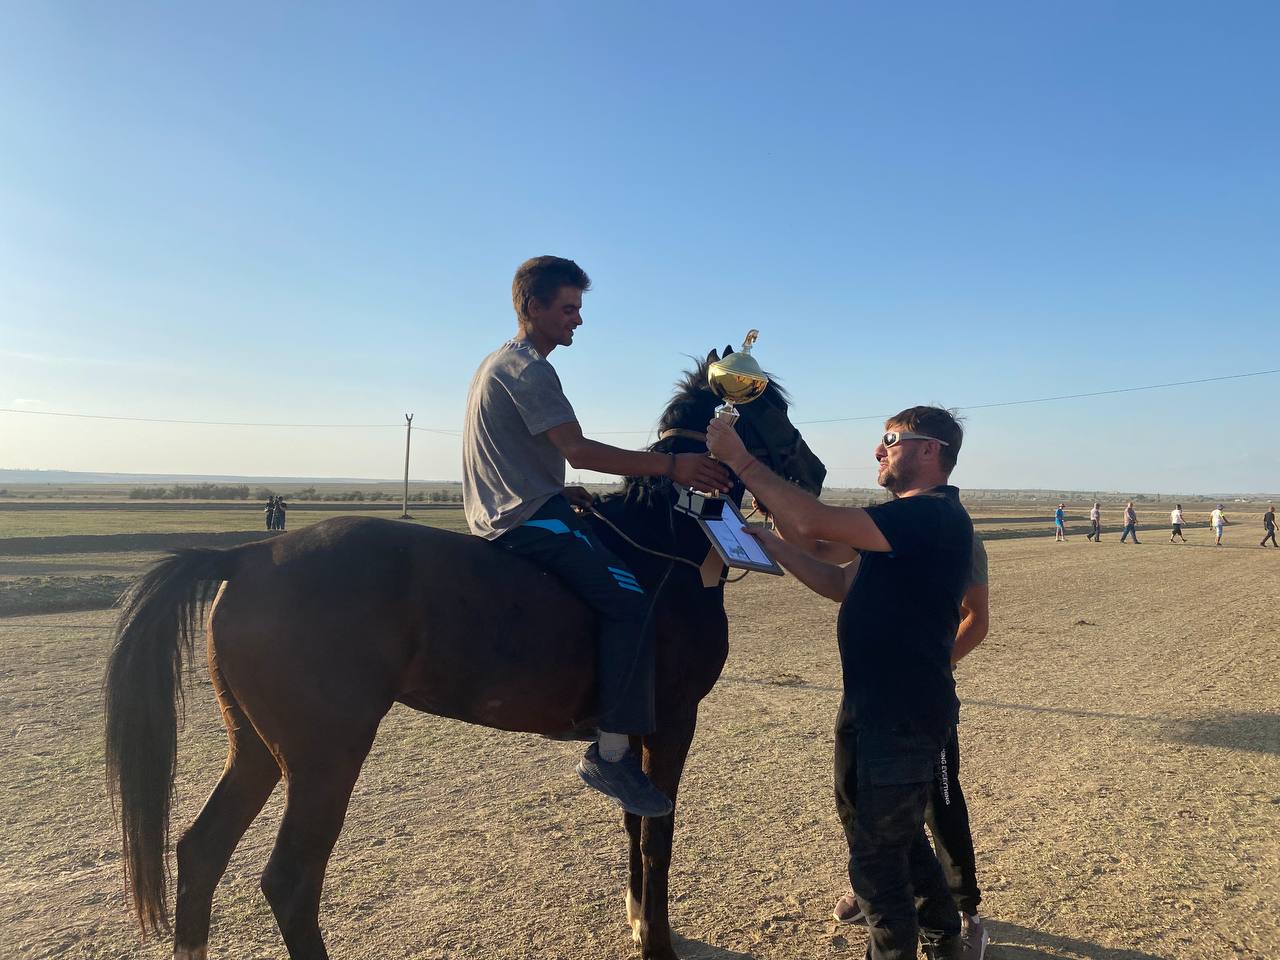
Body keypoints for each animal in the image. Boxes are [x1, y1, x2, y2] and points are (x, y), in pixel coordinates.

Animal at [104, 347, 827, 960]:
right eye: (770, 407)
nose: (815, 473)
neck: (664, 545)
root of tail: (250, 555)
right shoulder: (674, 719)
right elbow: (657, 839)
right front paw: (656, 943)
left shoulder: (643, 729)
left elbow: (634, 824)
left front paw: (642, 922)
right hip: (324, 757)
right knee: (289, 881)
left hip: (256, 747)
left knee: (201, 853)